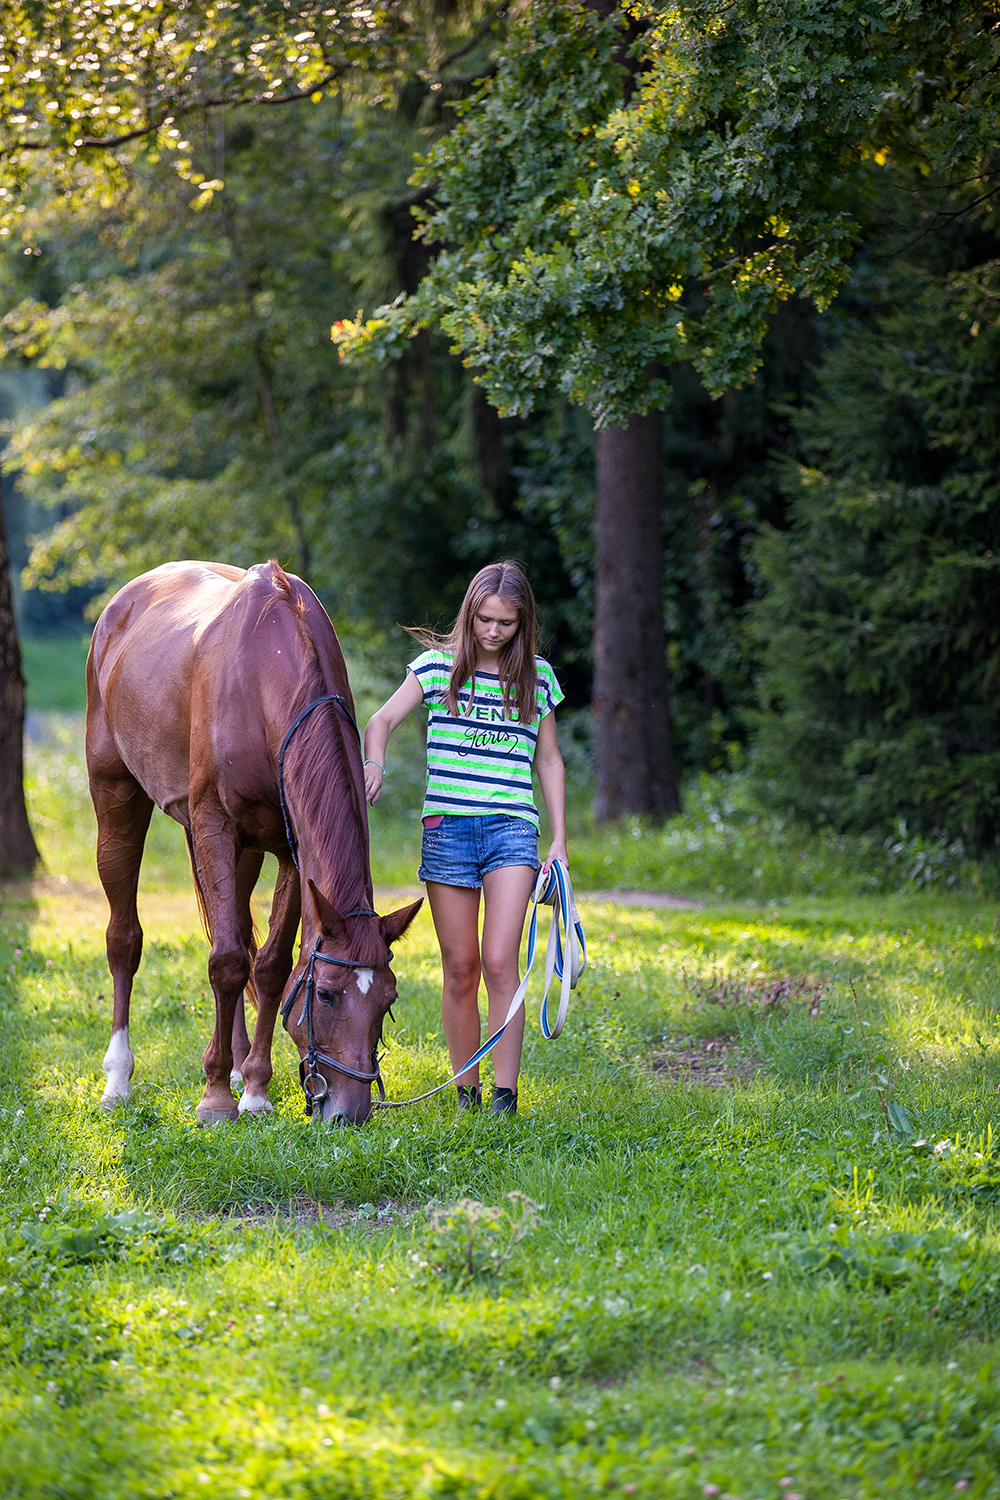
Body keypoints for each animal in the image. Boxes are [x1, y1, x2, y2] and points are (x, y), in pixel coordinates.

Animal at [85, 564, 422, 1128]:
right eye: (326, 996)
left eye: (389, 1000)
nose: (349, 1113)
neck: (268, 670)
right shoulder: (215, 826)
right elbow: (225, 962)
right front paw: (217, 1098)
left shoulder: (290, 849)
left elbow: (268, 966)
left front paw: (256, 1089)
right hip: (117, 800)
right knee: (124, 941)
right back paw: (118, 1078)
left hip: (243, 853)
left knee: (240, 934)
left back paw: (240, 1065)